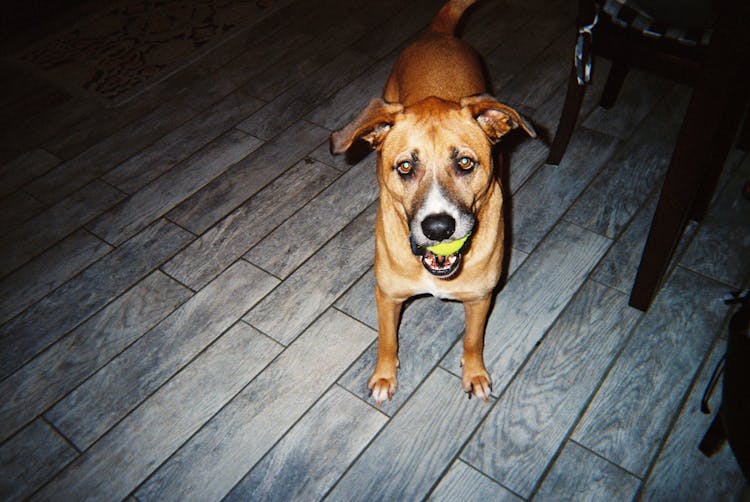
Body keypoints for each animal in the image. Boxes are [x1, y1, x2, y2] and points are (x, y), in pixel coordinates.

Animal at [332, 0, 536, 402]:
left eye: (465, 162)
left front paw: (474, 373)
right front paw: (384, 376)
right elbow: (387, 341)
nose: (439, 228)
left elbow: (473, 340)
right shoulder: (388, 296)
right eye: (405, 166)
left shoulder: (479, 299)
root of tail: (438, 35)